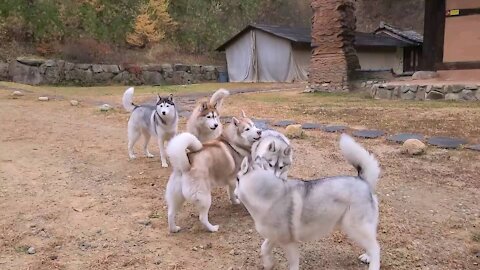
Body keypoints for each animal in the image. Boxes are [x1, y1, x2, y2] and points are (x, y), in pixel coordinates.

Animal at [234, 134, 380, 268]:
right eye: (270, 165)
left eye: (237, 179)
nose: (234, 194)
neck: (268, 196)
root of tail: (363, 181)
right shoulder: (273, 236)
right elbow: (264, 248)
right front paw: (269, 264)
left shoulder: (290, 244)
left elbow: (292, 265)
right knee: (372, 244)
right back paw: (367, 257)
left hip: (355, 228)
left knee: (376, 248)